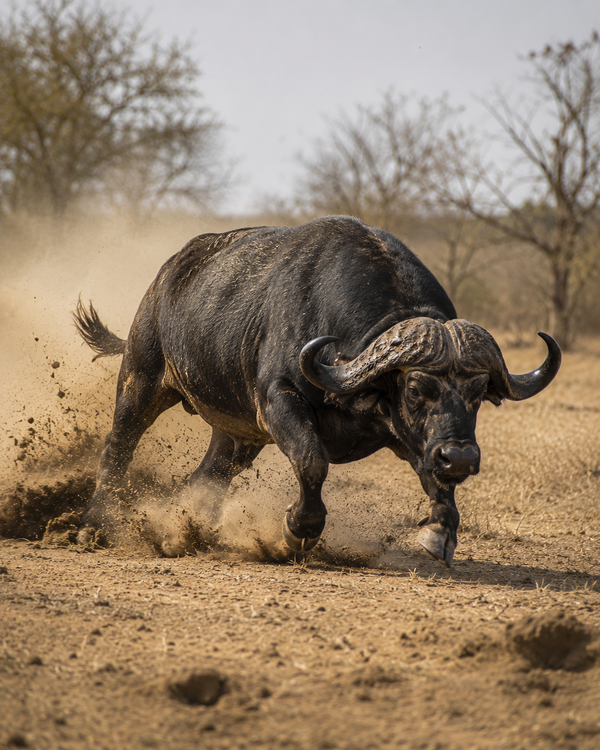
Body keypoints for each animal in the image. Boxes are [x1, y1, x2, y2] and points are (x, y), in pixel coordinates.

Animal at [74, 216, 560, 566]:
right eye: (417, 388)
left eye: (478, 392)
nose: (460, 457)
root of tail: (165, 277)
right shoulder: (278, 401)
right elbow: (312, 461)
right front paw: (296, 531)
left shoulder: (411, 438)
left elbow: (437, 484)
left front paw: (439, 531)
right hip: (141, 379)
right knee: (118, 446)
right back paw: (93, 526)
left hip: (237, 435)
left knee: (208, 476)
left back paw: (191, 529)